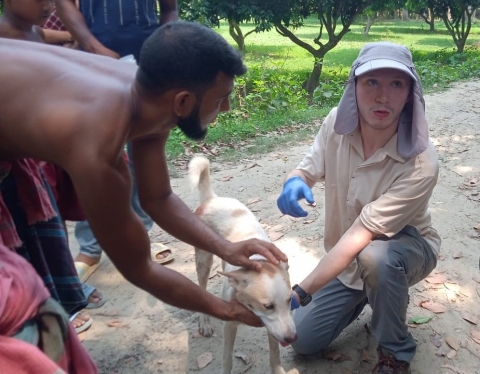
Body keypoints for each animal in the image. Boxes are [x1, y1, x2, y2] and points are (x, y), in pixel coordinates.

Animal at [188, 156, 296, 374]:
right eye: (268, 306)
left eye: (290, 300)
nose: (292, 338)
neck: (257, 260)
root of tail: (212, 198)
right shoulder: (230, 324)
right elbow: (227, 359)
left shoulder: (274, 328)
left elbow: (275, 356)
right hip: (203, 260)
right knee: (201, 286)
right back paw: (204, 323)